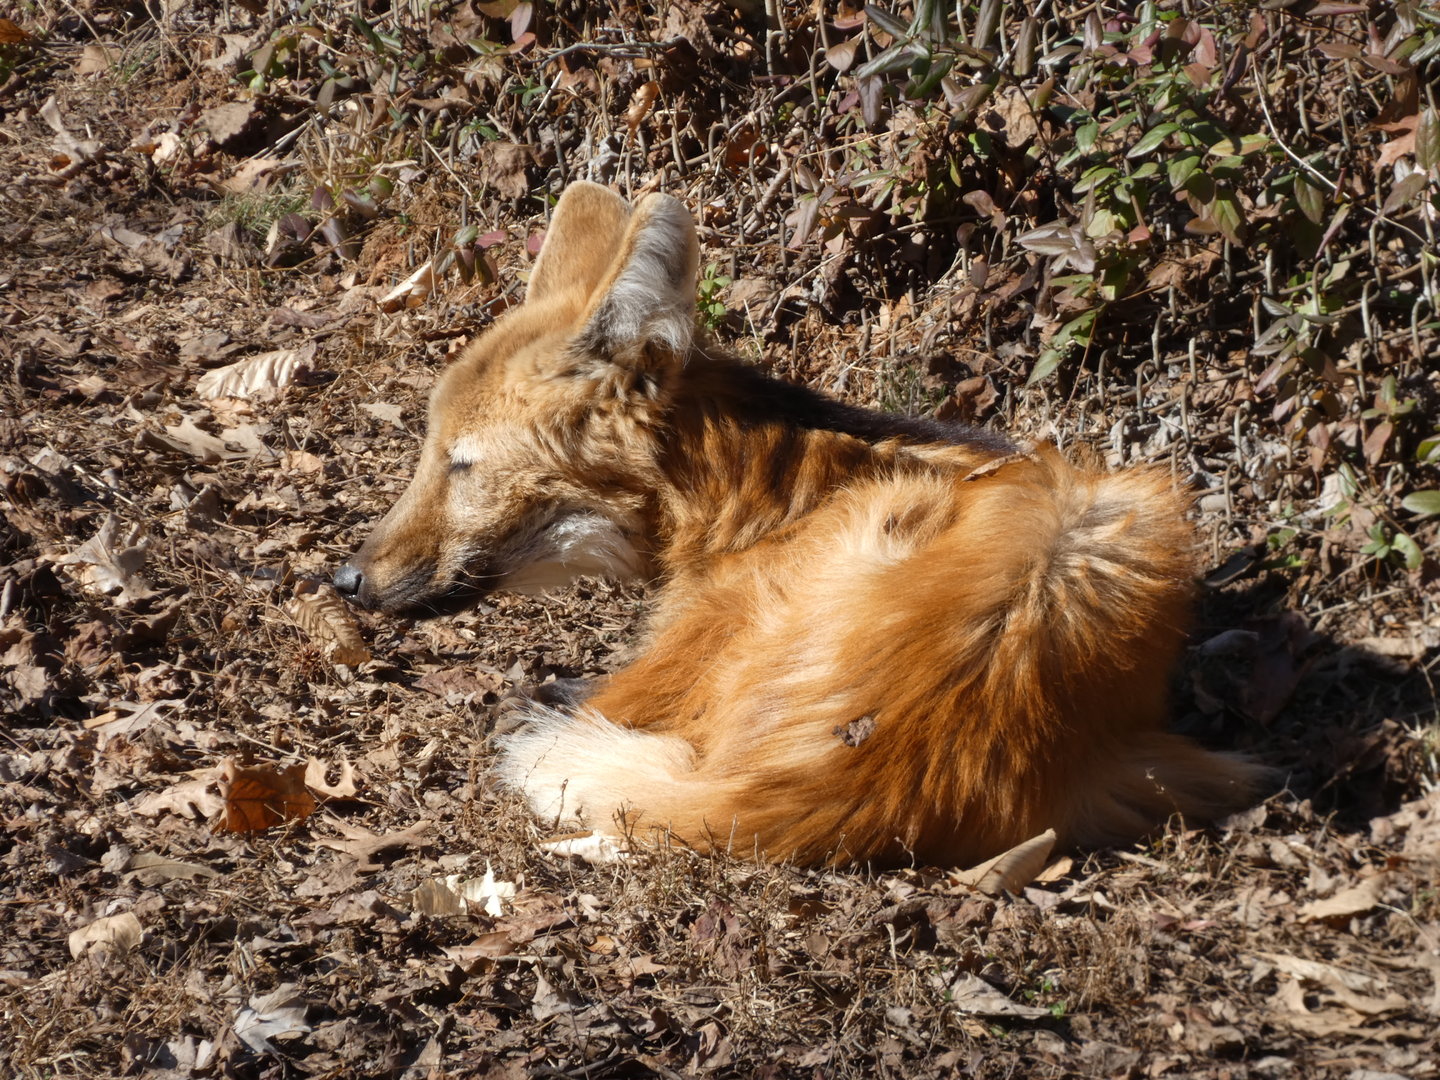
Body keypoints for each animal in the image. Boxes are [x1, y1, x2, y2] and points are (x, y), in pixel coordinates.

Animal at [334, 181, 1266, 867]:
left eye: (459, 463)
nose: (343, 578)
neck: (746, 500)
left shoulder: (670, 662)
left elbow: (568, 699)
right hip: (1129, 523)